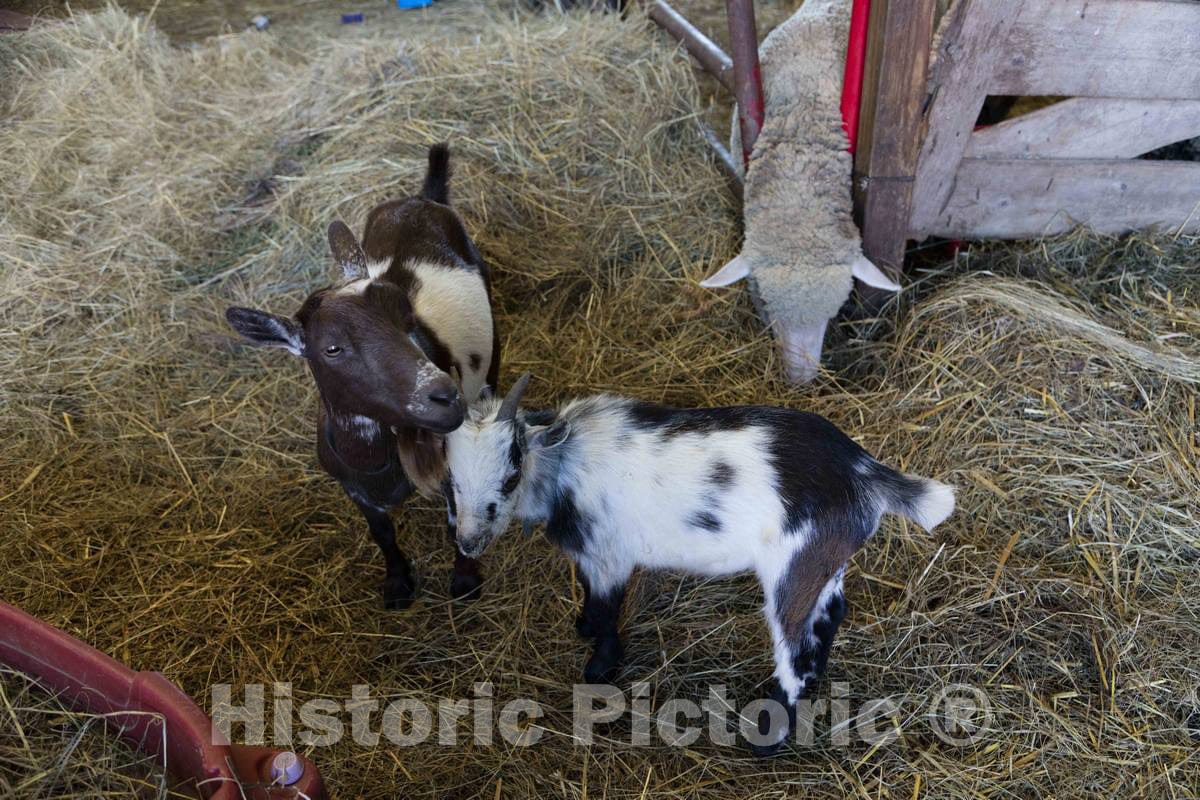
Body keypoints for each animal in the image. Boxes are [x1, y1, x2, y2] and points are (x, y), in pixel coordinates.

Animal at [225, 144, 499, 610]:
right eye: (331, 348)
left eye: (407, 316)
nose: (444, 396)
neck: (377, 461)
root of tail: (421, 197)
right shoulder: (354, 490)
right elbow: (382, 533)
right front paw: (397, 584)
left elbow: (459, 518)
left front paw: (464, 579)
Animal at [444, 374, 955, 754]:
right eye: (451, 480)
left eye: (511, 471)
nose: (468, 542)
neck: (564, 466)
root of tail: (863, 471)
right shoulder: (591, 558)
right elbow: (591, 600)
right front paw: (582, 625)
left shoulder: (609, 555)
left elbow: (608, 611)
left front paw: (599, 670)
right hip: (826, 562)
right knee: (830, 616)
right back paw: (814, 676)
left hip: (792, 568)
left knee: (791, 642)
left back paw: (769, 735)